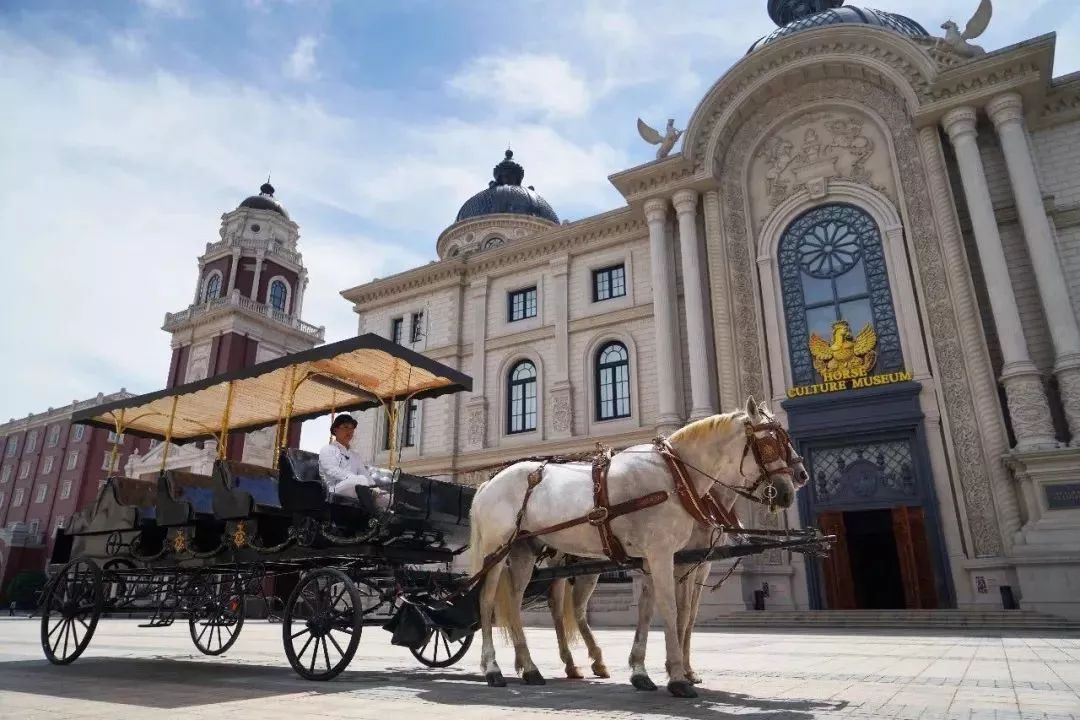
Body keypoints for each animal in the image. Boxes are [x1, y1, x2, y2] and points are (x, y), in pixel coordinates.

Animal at [468, 397, 807, 695]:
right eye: (771, 442)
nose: (794, 485)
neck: (675, 477)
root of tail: (488, 482)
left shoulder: (661, 560)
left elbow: (651, 611)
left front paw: (642, 671)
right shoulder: (664, 555)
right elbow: (672, 610)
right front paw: (678, 676)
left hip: (524, 552)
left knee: (515, 603)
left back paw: (531, 667)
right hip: (496, 552)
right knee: (487, 601)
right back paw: (494, 669)